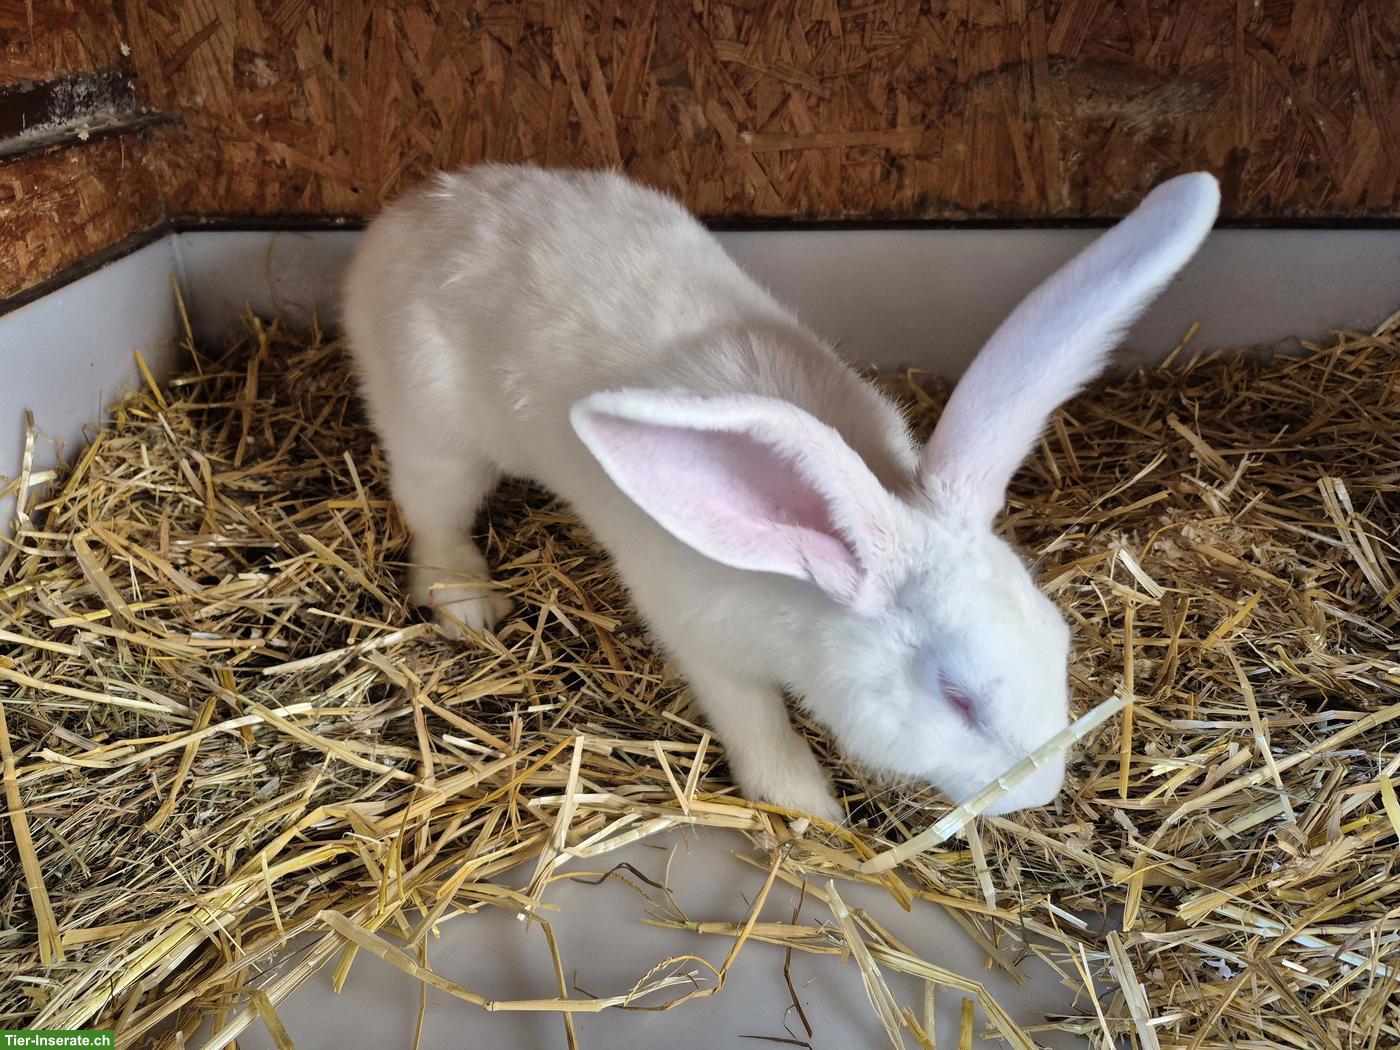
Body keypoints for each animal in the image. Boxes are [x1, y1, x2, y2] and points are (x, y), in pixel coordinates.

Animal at [342, 164, 1219, 823]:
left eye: (1059, 643)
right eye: (959, 699)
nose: (1037, 794)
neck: (812, 572)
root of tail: (408, 213)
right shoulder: (703, 640)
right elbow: (753, 719)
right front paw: (807, 805)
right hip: (435, 435)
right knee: (433, 516)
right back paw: (466, 603)